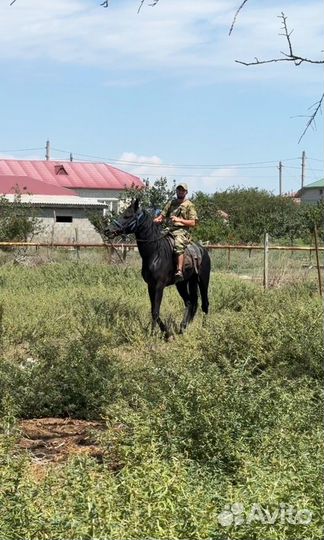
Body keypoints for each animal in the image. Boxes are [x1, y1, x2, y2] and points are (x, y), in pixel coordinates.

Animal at [107, 199, 211, 338]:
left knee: (204, 304)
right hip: (184, 283)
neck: (155, 253)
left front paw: (160, 335)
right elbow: (153, 310)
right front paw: (162, 333)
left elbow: (156, 311)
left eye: (127, 215)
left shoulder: (159, 286)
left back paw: (203, 329)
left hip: (203, 281)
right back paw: (183, 328)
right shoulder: (150, 285)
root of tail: (202, 250)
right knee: (190, 303)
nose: (107, 230)